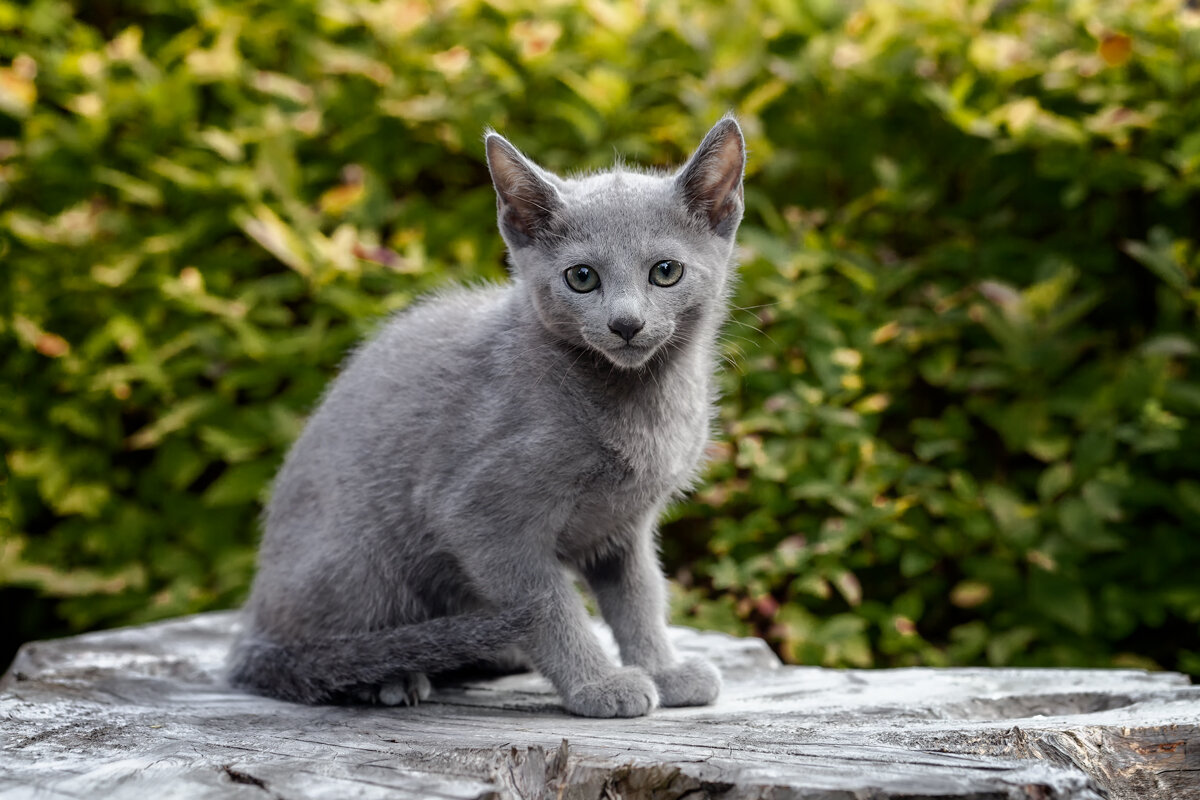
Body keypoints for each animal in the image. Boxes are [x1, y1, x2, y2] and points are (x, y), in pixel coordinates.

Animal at [226, 115, 739, 714]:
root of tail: (250, 631)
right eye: (582, 278)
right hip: (363, 560)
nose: (626, 323)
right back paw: (387, 676)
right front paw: (597, 685)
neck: (639, 400)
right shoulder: (481, 519)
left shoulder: (624, 528)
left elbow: (640, 599)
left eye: (665, 271)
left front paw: (664, 670)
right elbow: (551, 608)